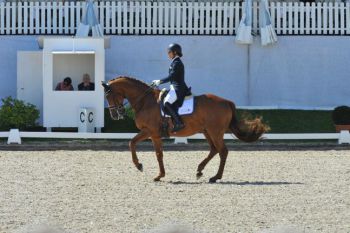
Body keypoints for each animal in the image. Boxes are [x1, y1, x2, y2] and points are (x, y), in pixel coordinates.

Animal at [101, 76, 268, 182]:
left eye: (108, 95)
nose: (115, 115)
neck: (145, 101)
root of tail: (227, 101)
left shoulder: (151, 132)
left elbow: (139, 146)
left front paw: (144, 168)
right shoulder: (152, 133)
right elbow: (145, 148)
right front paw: (156, 173)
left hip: (215, 132)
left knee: (223, 151)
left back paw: (215, 177)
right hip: (207, 131)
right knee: (214, 150)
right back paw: (200, 170)